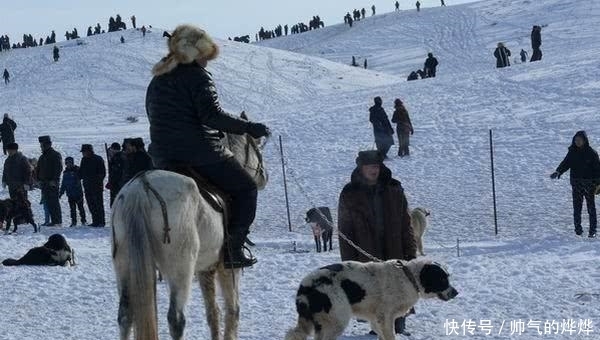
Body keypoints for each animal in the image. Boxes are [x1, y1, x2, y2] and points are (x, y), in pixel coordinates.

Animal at [112, 113, 268, 338]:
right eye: (257, 147)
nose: (264, 176)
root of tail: (141, 189)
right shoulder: (227, 268)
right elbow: (232, 311)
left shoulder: (206, 269)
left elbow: (213, 313)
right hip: (181, 267)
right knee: (176, 318)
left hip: (124, 264)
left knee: (125, 315)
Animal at [286, 258, 460, 338]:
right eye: (442, 279)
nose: (456, 292)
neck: (409, 278)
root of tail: (306, 285)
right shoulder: (386, 317)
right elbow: (390, 335)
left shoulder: (376, 319)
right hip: (337, 318)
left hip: (316, 320)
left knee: (293, 334)